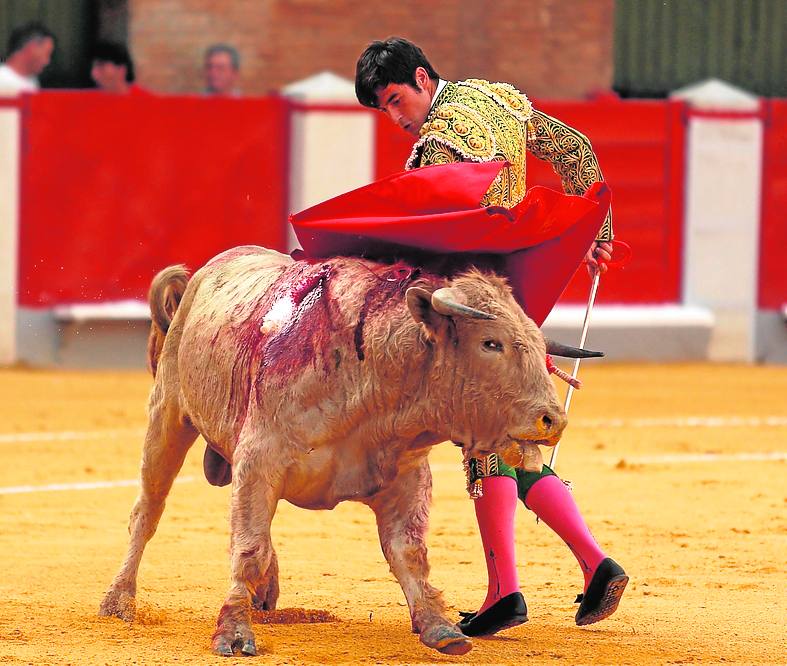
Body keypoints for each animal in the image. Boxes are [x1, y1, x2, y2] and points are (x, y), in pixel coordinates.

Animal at [98, 246, 596, 656]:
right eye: (490, 343)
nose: (553, 419)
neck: (373, 382)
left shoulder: (407, 477)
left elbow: (409, 551)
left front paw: (439, 626)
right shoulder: (258, 459)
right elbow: (248, 546)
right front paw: (234, 634)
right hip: (168, 414)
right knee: (148, 509)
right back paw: (118, 600)